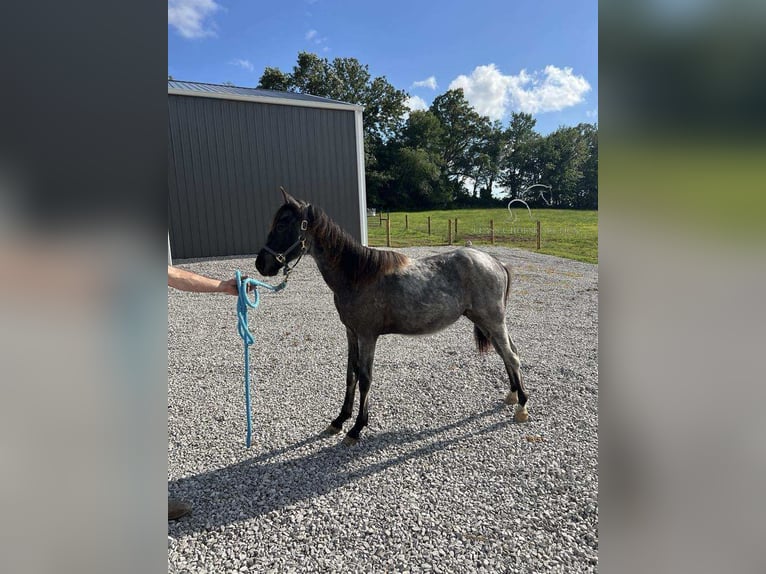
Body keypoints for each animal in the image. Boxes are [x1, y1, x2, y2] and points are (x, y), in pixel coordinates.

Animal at [255, 191, 532, 448]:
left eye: (283, 224)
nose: (261, 264)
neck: (357, 275)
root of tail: (496, 262)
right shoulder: (351, 333)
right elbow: (351, 374)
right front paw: (339, 420)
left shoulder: (367, 336)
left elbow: (365, 378)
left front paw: (357, 428)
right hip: (488, 322)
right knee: (507, 353)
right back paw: (512, 395)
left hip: (493, 321)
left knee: (512, 357)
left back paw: (522, 407)